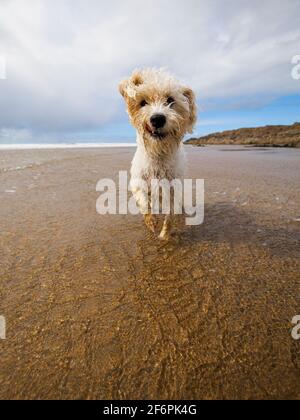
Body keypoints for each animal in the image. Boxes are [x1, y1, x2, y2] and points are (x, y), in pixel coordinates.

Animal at [119, 69, 197, 240]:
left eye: (170, 100)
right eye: (143, 102)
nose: (157, 118)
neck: (158, 154)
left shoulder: (174, 189)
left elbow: (170, 215)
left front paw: (164, 235)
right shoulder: (138, 181)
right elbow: (143, 201)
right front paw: (151, 221)